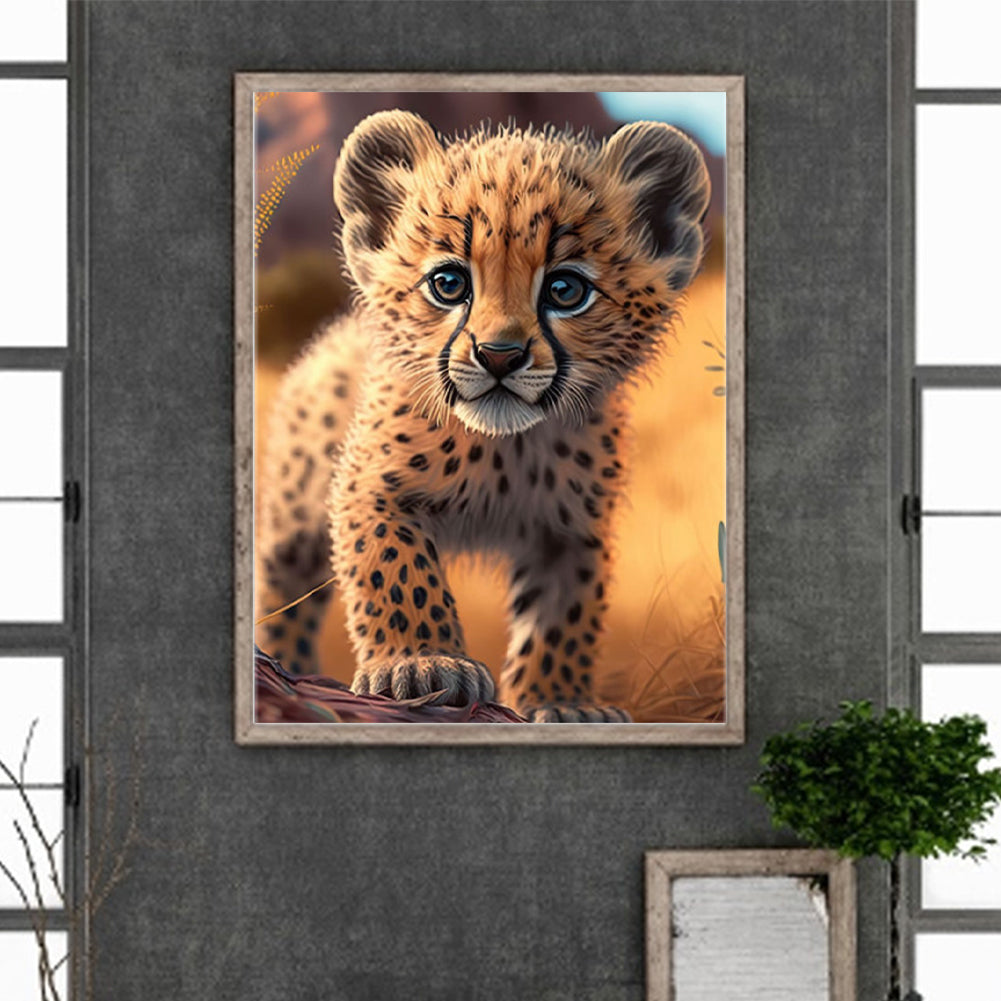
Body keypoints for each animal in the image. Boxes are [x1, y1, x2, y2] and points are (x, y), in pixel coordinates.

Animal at [255, 109, 710, 723]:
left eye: (566, 290)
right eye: (449, 284)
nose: (499, 355)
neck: (506, 448)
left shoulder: (573, 528)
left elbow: (566, 614)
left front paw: (561, 701)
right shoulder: (372, 487)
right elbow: (398, 571)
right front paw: (423, 663)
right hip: (295, 502)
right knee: (284, 582)